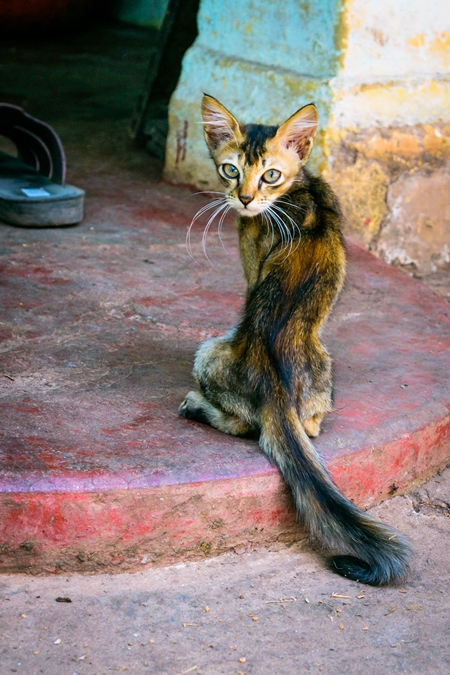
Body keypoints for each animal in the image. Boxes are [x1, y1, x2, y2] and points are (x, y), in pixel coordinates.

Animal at [178, 95, 410, 588]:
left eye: (270, 175)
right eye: (230, 170)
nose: (244, 199)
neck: (300, 185)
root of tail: (276, 389)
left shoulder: (250, 261)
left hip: (207, 351)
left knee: (243, 426)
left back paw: (196, 406)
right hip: (324, 366)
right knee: (310, 428)